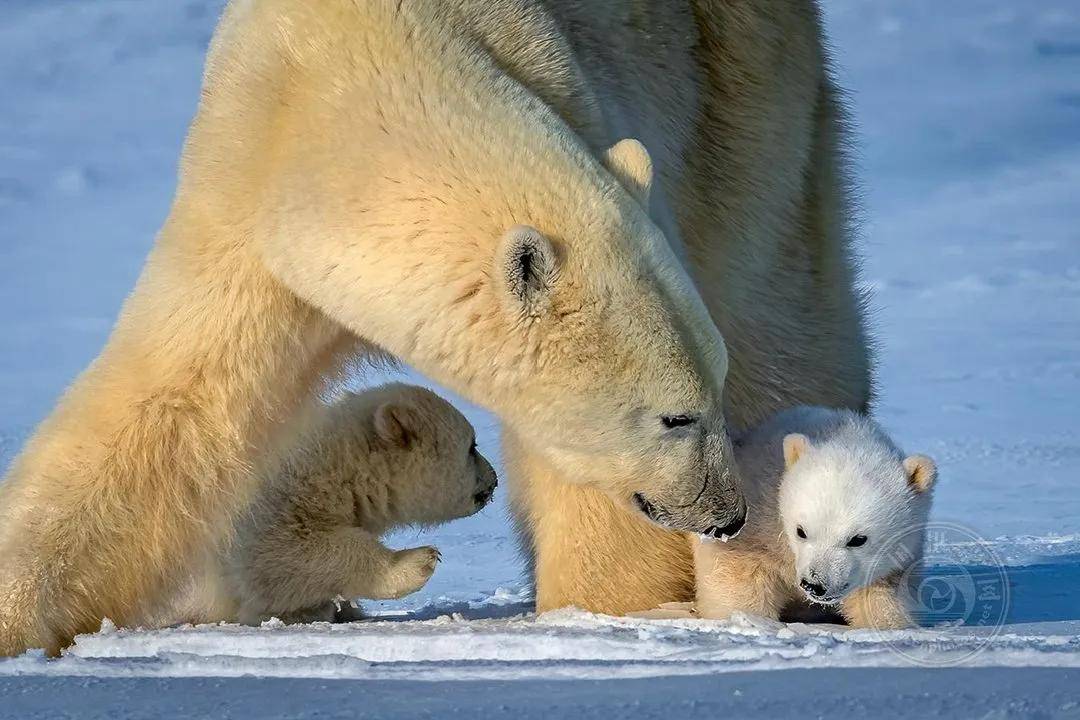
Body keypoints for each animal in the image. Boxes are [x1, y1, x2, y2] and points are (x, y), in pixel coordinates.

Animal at [0, 0, 868, 651]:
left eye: (699, 400)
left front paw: (606, 609)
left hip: (741, 82)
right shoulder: (241, 185)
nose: (726, 515)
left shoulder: (575, 83)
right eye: (676, 416)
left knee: (776, 298)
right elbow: (171, 407)